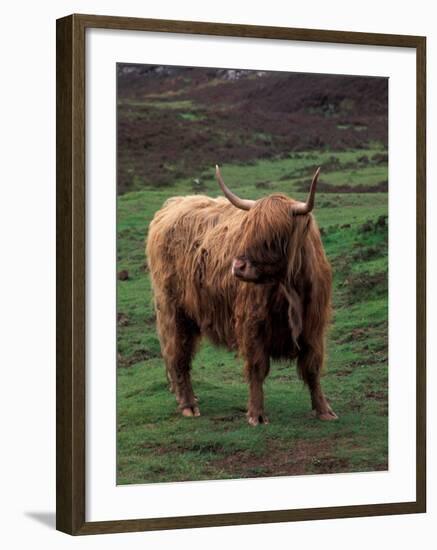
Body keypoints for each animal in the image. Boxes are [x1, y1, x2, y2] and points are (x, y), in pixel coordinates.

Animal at [146, 167, 338, 426]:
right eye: (247, 230)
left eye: (275, 236)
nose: (238, 267)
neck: (289, 289)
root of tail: (172, 205)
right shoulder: (251, 323)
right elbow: (258, 368)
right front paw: (256, 414)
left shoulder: (313, 326)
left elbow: (312, 368)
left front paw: (324, 410)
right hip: (173, 311)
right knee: (178, 355)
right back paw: (188, 404)